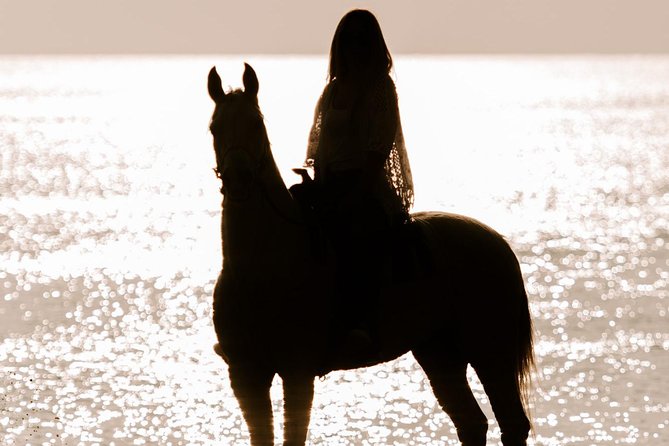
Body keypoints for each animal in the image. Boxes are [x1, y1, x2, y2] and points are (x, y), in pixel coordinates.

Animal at [207, 63, 534, 446]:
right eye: (214, 128)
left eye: (257, 124)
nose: (239, 179)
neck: (264, 264)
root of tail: (498, 242)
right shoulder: (246, 374)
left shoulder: (296, 369)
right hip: (439, 352)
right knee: (471, 423)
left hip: (490, 348)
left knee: (512, 423)